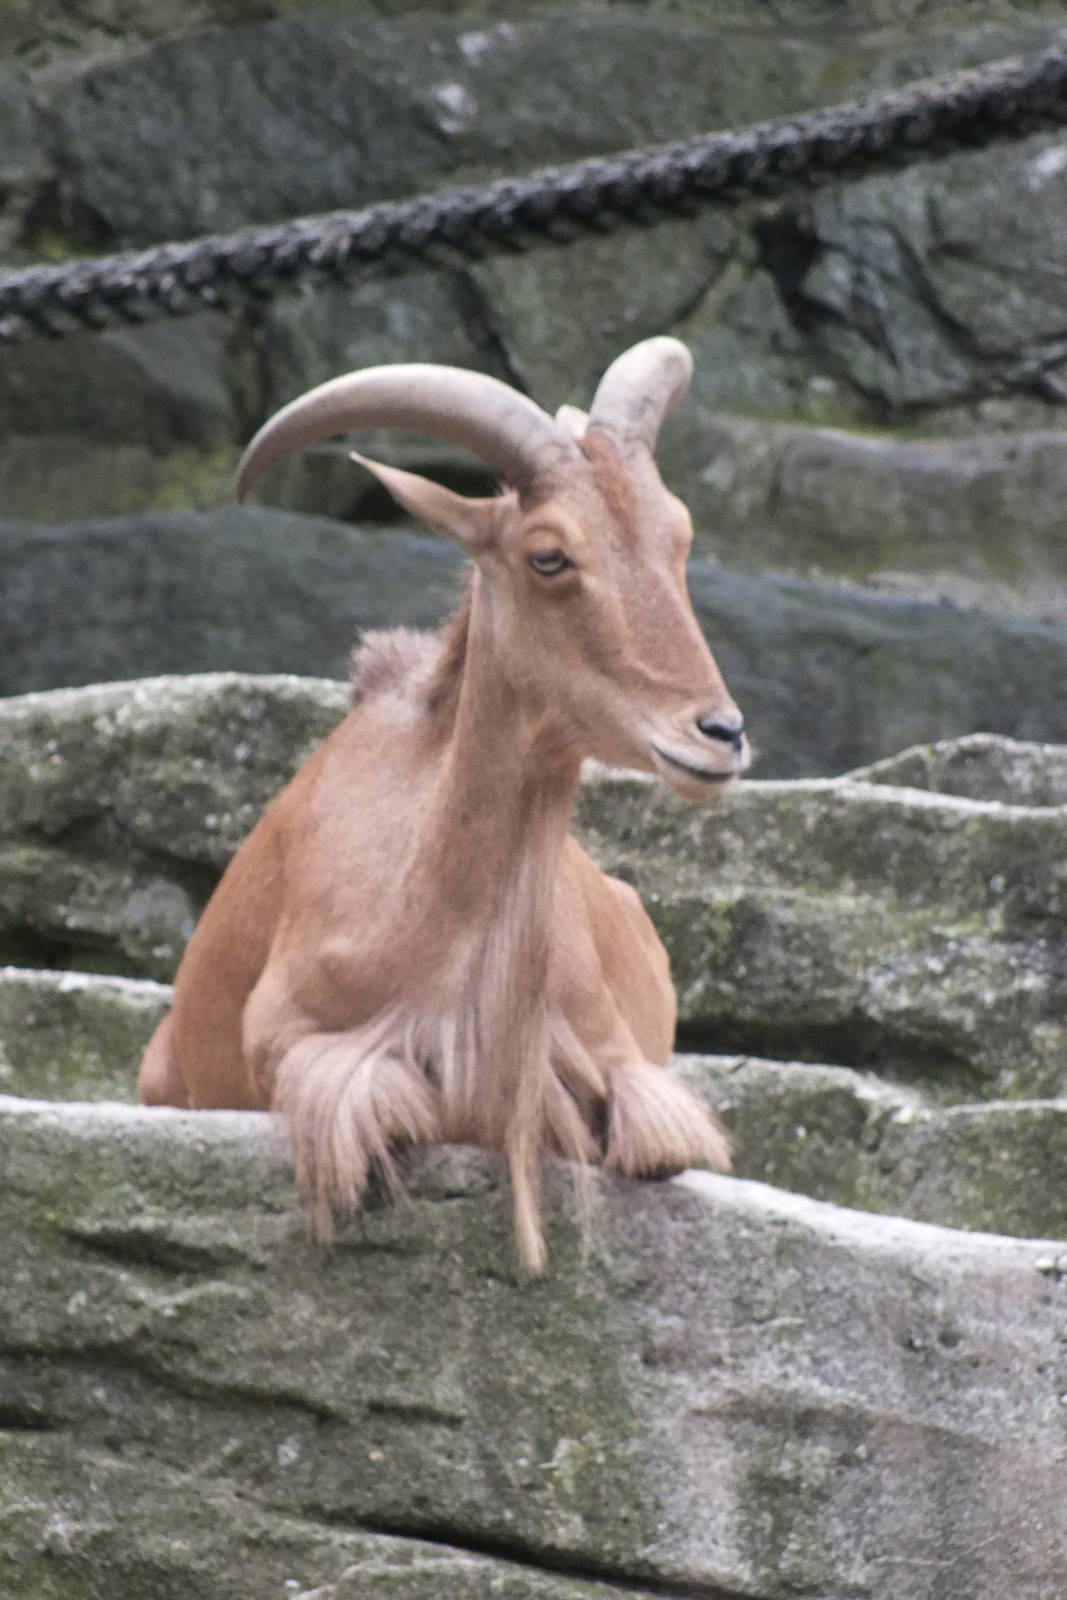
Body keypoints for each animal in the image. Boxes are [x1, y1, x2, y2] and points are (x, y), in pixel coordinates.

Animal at [139, 336, 749, 1272]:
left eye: (676, 536)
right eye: (547, 555)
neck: (436, 920)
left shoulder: (620, 1061)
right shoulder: (296, 1044)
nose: (719, 733)